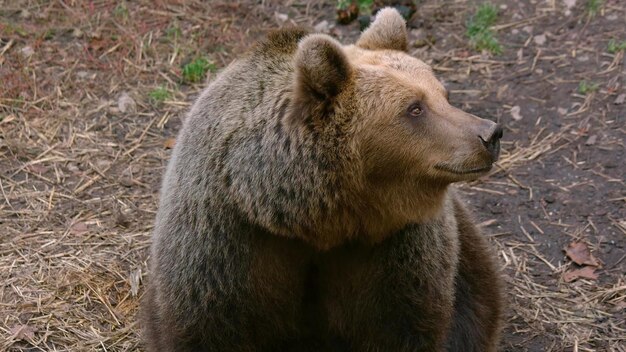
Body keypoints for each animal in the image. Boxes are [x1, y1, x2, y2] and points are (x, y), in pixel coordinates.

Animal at [141, 8, 502, 352]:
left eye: (444, 94)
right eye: (414, 108)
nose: (490, 134)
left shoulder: (393, 251)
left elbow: (402, 323)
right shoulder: (226, 243)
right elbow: (209, 326)